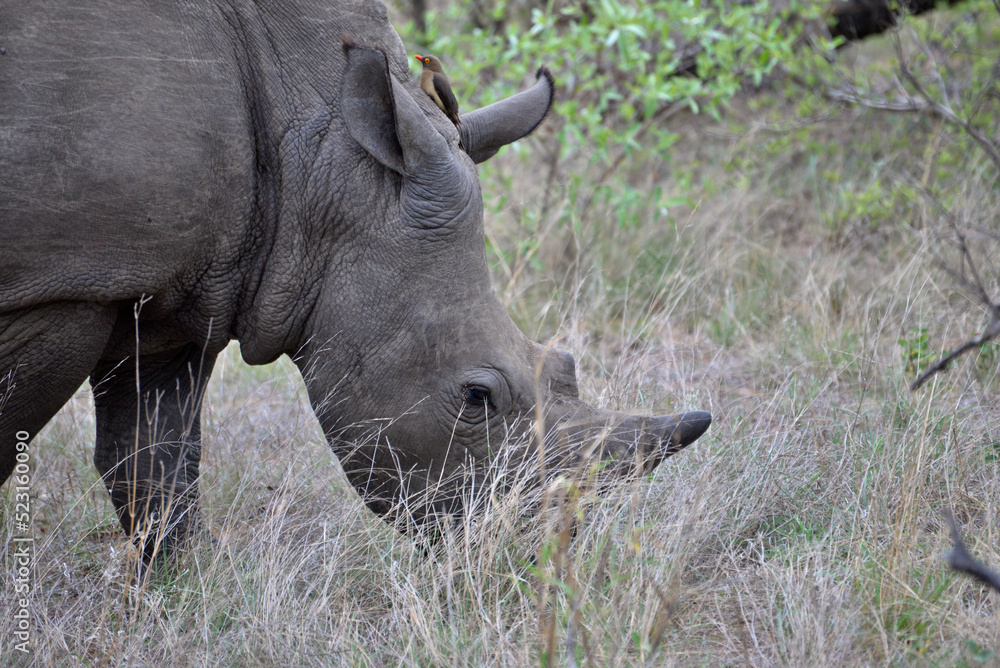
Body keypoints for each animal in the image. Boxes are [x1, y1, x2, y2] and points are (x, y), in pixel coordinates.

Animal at [0, 0, 711, 563]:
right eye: (476, 397)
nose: (540, 550)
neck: (323, 161)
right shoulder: (64, 289)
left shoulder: (174, 295)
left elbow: (154, 464)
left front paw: (182, 591)